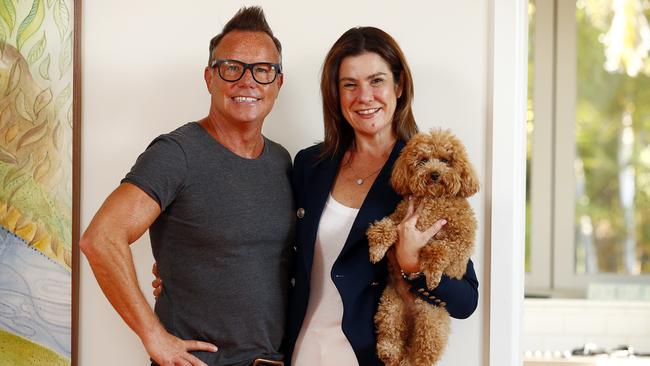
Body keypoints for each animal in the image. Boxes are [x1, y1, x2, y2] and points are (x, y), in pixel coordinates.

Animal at [368, 129, 478, 366]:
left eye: (446, 160)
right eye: (423, 160)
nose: (435, 174)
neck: (432, 198)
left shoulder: (460, 237)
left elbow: (440, 250)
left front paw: (434, 276)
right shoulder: (399, 217)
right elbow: (383, 228)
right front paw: (376, 250)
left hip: (432, 323)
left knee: (422, 354)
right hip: (390, 305)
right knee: (391, 335)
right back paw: (390, 352)